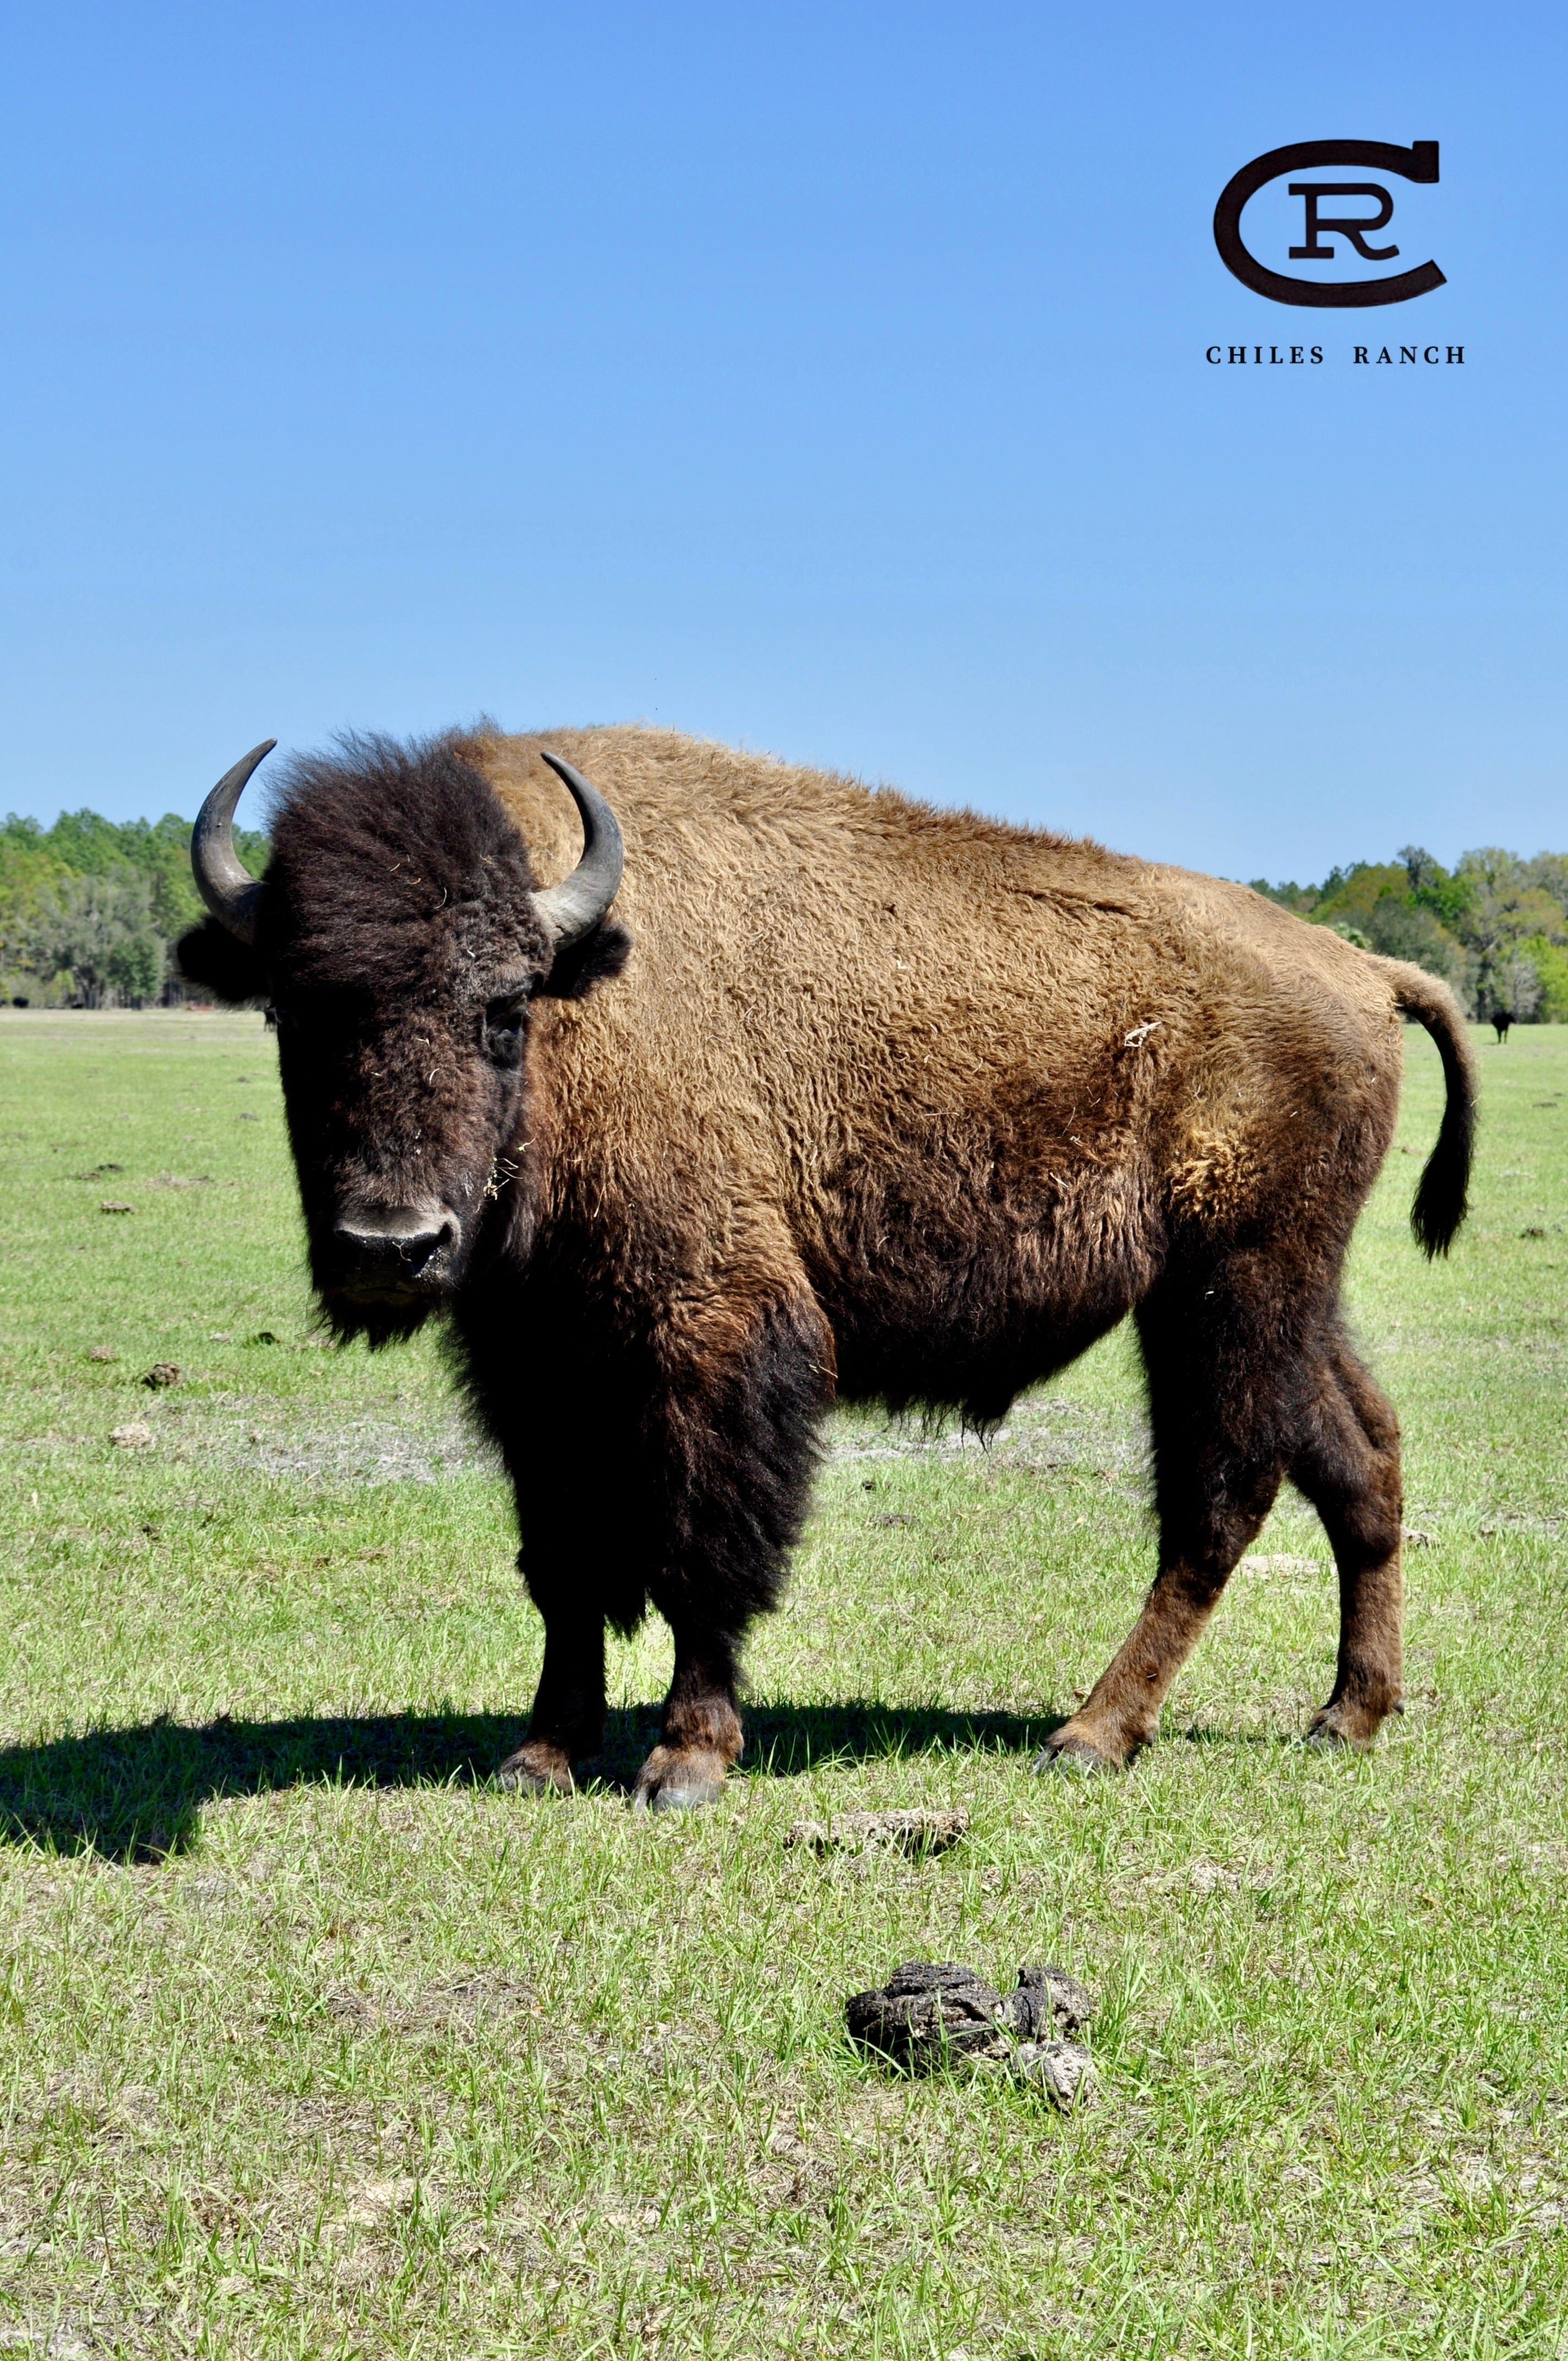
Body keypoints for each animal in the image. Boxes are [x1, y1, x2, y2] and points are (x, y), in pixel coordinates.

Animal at [179, 726, 1475, 1807]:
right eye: (293, 1012)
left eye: (501, 1009)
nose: (388, 1245)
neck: (588, 992)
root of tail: (1363, 972)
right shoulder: (530, 1367)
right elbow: (564, 1560)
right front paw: (540, 1755)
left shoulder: (715, 1334)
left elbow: (705, 1546)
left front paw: (685, 1761)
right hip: (1275, 1295)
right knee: (1358, 1458)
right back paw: (1344, 1715)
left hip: (1230, 1288)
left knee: (1221, 1496)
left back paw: (1091, 1734)